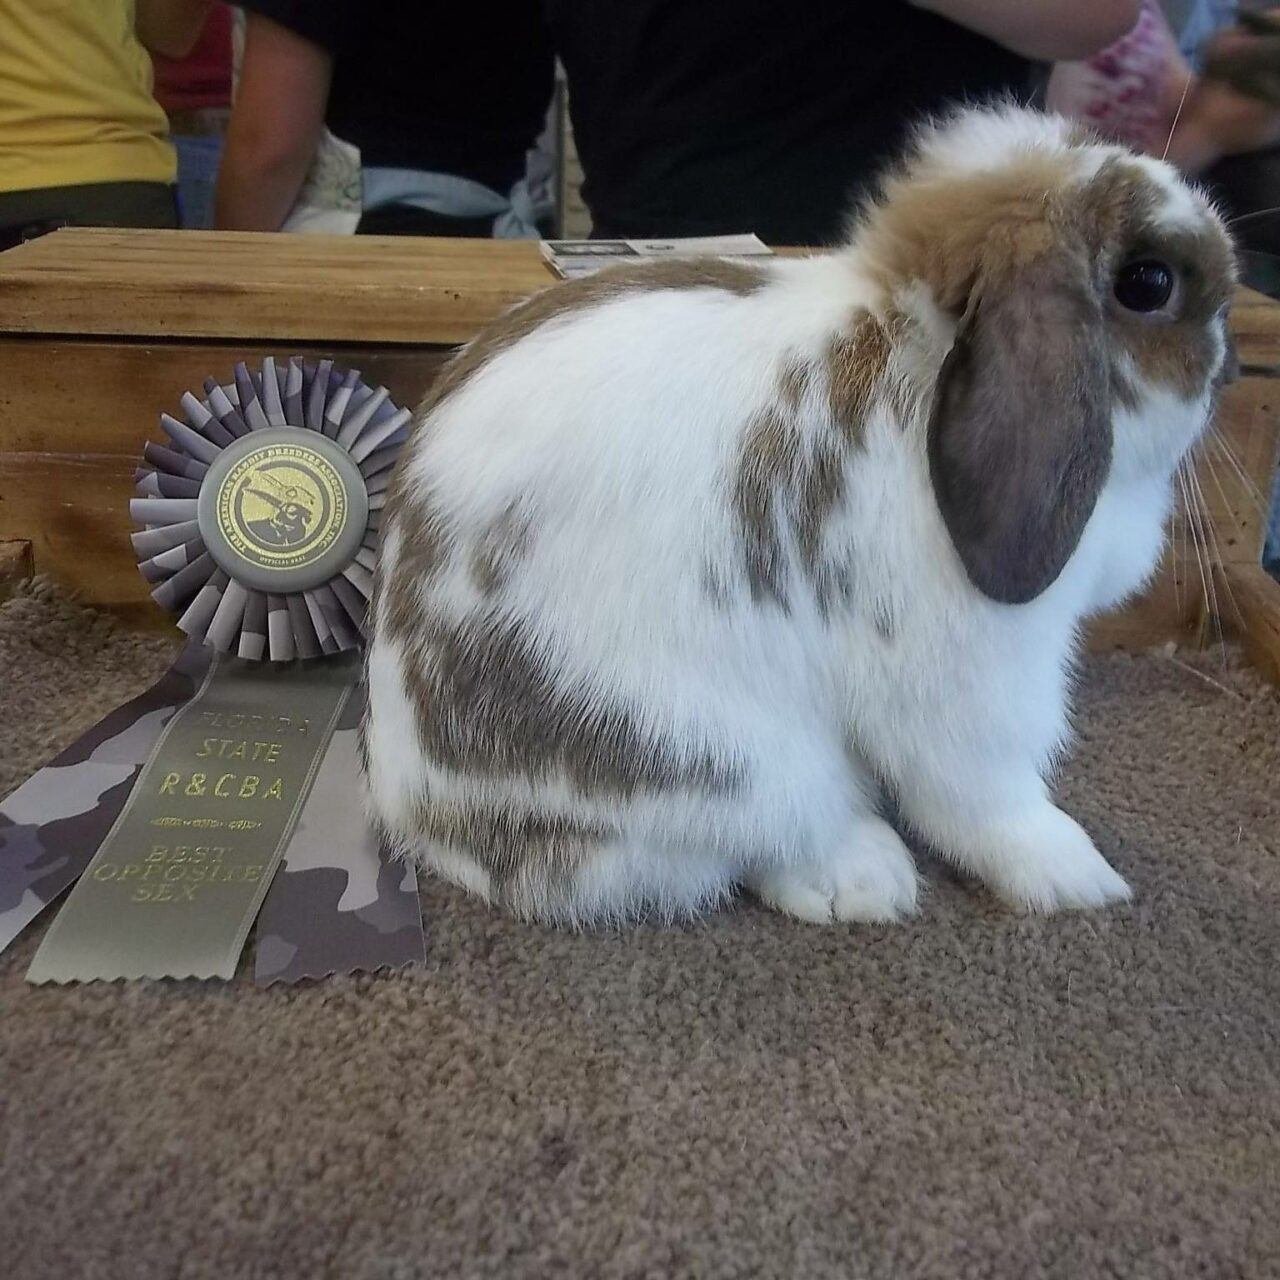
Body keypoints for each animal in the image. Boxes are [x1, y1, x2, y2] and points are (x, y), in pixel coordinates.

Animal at [360, 105, 1237, 927]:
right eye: (1148, 284)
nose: (1227, 366)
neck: (919, 349)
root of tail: (417, 810)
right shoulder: (974, 679)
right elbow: (988, 797)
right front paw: (1076, 875)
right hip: (723, 755)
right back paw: (866, 879)